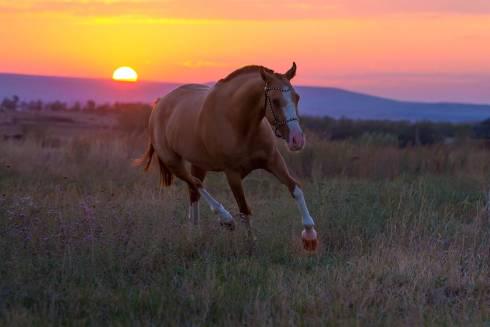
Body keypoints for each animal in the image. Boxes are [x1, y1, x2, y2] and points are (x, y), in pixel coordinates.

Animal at [135, 62, 318, 251]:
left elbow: (295, 188)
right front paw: (250, 243)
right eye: (274, 100)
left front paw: (310, 236)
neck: (239, 123)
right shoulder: (232, 174)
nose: (297, 140)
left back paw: (195, 234)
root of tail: (159, 104)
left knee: (193, 191)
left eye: (297, 97)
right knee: (195, 183)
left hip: (198, 164)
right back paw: (225, 219)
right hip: (173, 162)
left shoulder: (273, 161)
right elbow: (244, 208)